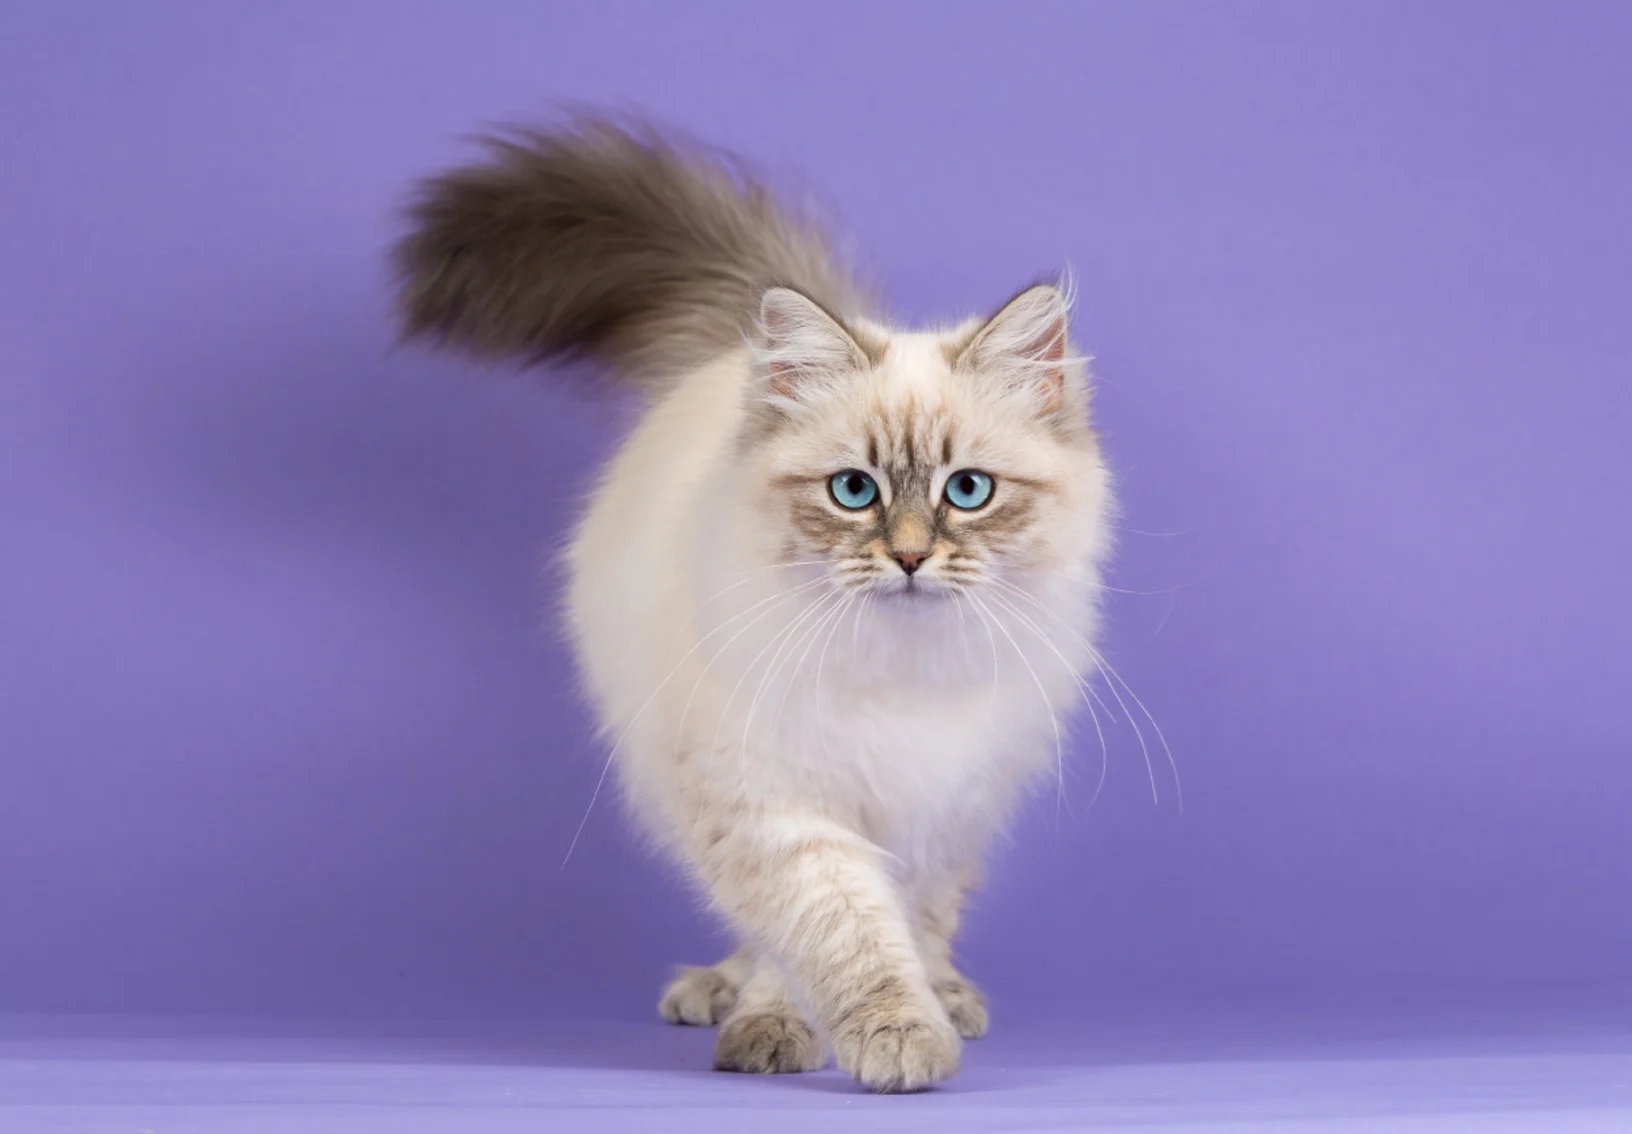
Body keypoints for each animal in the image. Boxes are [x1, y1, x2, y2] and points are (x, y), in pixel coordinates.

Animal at [391, 115, 1122, 1089]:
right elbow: (832, 927)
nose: (910, 557)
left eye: (968, 491)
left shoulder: (939, 807)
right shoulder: (770, 799)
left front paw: (920, 1020)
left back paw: (951, 996)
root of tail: (735, 354)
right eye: (854, 491)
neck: (898, 668)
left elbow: (909, 923)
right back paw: (720, 991)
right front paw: (838, 1033)